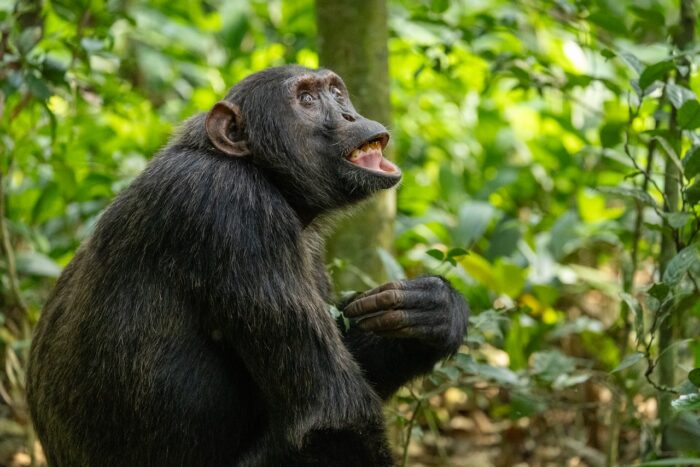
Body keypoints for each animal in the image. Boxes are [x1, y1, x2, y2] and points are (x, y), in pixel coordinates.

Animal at [27, 65, 468, 466]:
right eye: (307, 99)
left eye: (336, 92)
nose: (349, 115)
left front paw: (434, 309)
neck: (262, 171)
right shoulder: (233, 209)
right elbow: (333, 417)